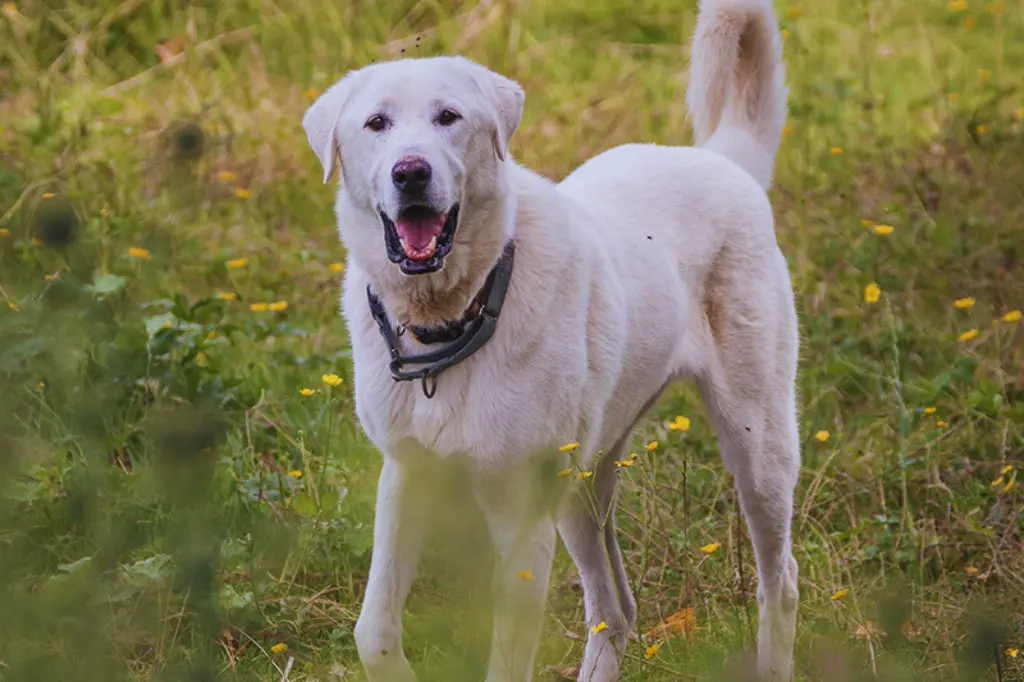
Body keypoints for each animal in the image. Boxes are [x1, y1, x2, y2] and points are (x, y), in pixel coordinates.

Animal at [303, 0, 798, 675]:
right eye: (376, 123)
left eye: (448, 117)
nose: (411, 173)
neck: (454, 317)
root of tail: (725, 160)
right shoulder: (405, 477)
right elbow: (373, 630)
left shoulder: (520, 525)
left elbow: (505, 661)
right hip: (582, 484)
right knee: (616, 609)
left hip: (759, 447)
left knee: (781, 580)